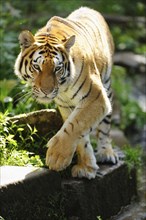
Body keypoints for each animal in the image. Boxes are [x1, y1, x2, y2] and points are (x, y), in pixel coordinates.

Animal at [14, 6, 118, 180]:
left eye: (57, 68)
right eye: (37, 67)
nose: (47, 91)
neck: (63, 88)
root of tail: (89, 8)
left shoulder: (96, 97)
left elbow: (75, 125)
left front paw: (57, 157)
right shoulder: (65, 105)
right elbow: (79, 134)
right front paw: (86, 167)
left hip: (107, 85)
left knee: (105, 127)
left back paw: (106, 152)